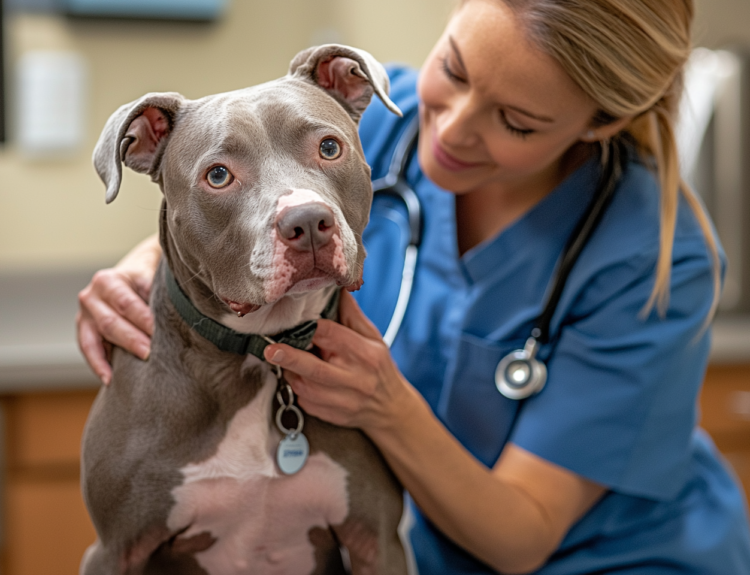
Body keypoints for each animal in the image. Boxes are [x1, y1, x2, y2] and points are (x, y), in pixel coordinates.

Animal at [81, 45, 412, 575]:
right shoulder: (114, 550)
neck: (260, 353)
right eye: (218, 175)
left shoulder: (375, 540)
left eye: (329, 148)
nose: (308, 222)